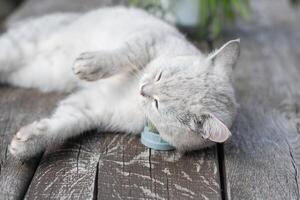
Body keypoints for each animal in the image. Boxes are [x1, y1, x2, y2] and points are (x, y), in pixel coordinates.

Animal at [0, 6, 241, 159]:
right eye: (160, 75)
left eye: (157, 104)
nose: (142, 89)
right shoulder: (147, 40)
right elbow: (122, 55)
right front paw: (89, 65)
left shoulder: (92, 109)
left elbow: (62, 126)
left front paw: (28, 143)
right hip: (20, 47)